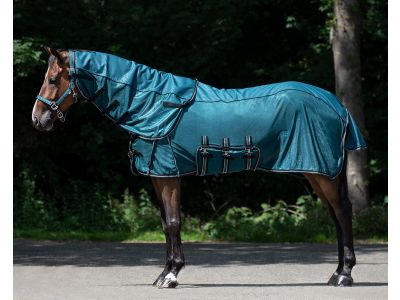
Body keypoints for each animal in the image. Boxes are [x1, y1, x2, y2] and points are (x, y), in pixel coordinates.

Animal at [32, 46, 368, 288]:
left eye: (52, 80)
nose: (38, 120)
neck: (152, 103)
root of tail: (337, 106)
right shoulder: (159, 176)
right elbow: (166, 224)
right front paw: (163, 273)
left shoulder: (169, 175)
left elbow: (173, 222)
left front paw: (171, 275)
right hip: (318, 174)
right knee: (336, 216)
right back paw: (336, 273)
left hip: (322, 173)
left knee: (342, 212)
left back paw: (344, 275)